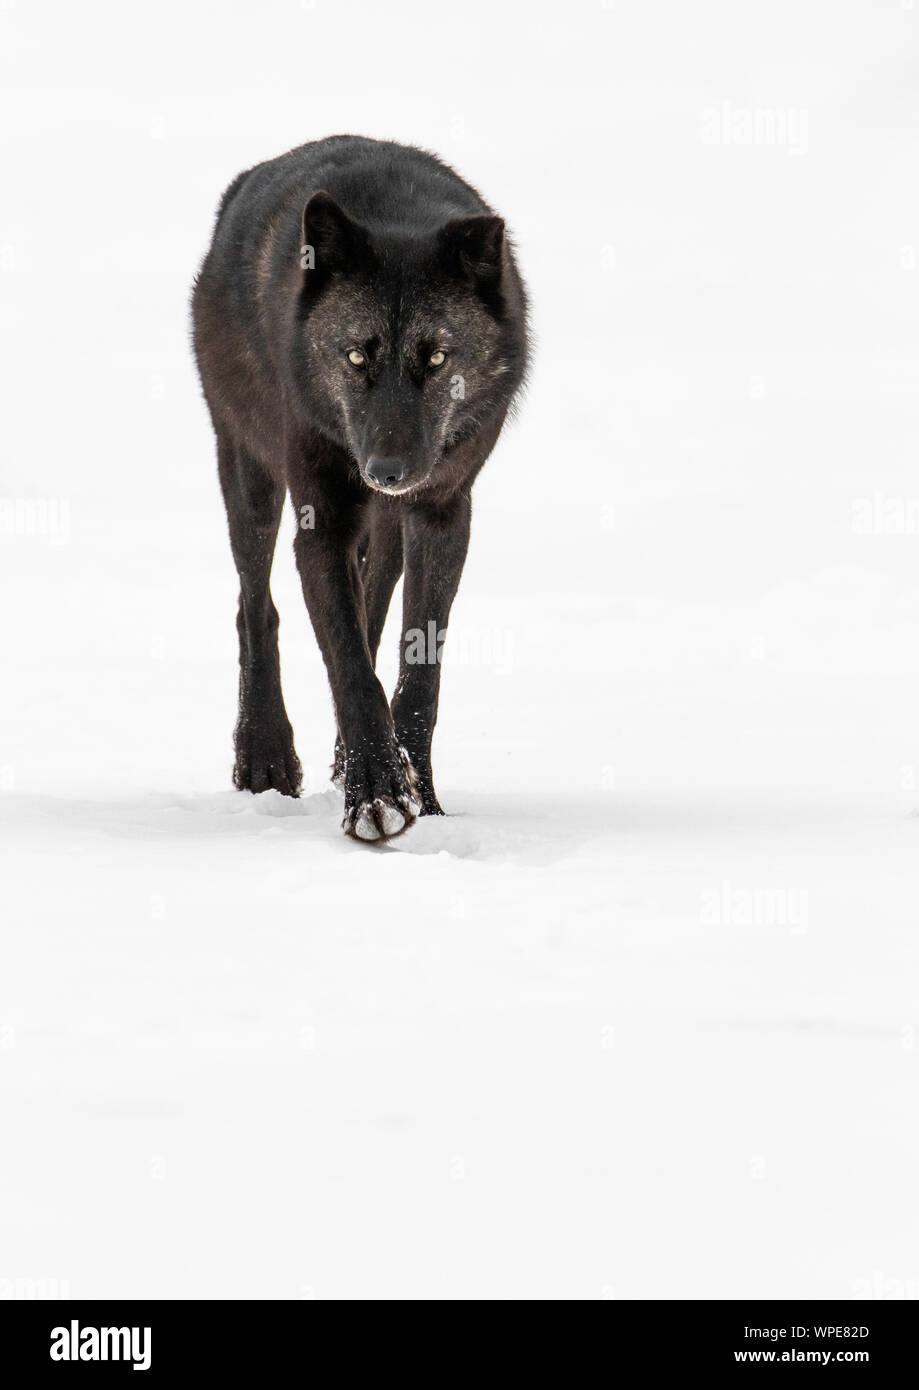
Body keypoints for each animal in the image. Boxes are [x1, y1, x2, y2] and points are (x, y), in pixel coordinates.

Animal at [190, 138, 525, 834]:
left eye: (437, 357)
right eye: (354, 357)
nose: (385, 471)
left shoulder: (443, 517)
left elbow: (417, 669)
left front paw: (419, 796)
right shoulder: (323, 525)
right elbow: (348, 662)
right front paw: (377, 793)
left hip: (389, 525)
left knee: (372, 601)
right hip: (250, 475)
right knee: (254, 606)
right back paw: (263, 755)